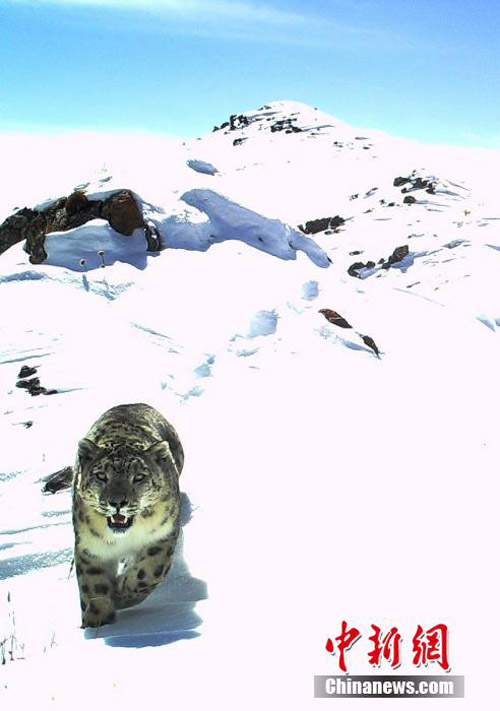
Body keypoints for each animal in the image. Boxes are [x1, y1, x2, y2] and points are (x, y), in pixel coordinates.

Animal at [72, 404, 184, 632]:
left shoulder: (163, 535)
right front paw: (97, 620)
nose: (117, 502)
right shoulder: (90, 548)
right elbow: (93, 585)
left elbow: (149, 572)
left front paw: (121, 592)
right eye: (101, 476)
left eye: (139, 477)